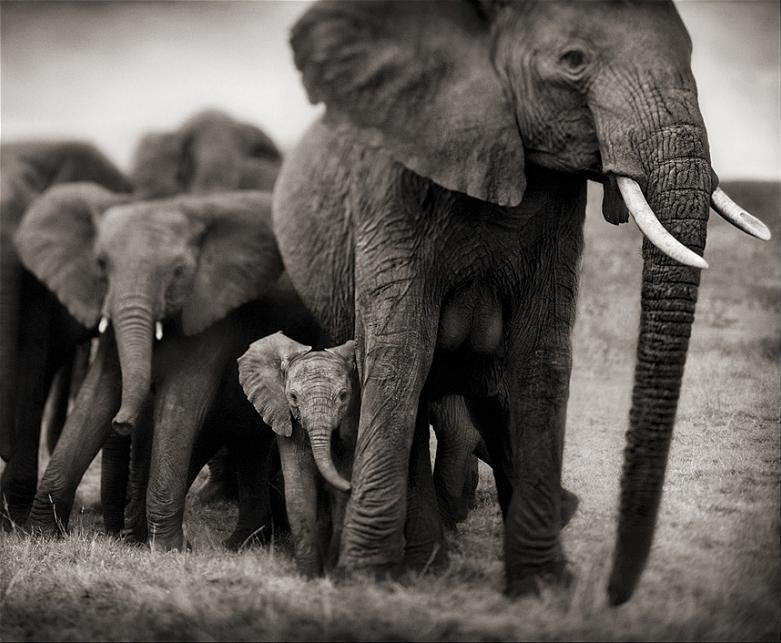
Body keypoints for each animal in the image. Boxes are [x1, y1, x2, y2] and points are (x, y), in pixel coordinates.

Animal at [15, 185, 288, 548]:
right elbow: (96, 395)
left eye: (179, 271)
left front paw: (171, 549)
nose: (122, 423)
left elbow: (180, 403)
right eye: (101, 264)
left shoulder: (211, 313)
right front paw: (39, 535)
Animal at [272, 0, 771, 603]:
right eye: (573, 61)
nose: (614, 595)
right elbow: (399, 353)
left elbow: (539, 356)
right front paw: (366, 581)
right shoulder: (390, 192)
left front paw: (542, 587)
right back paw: (425, 565)